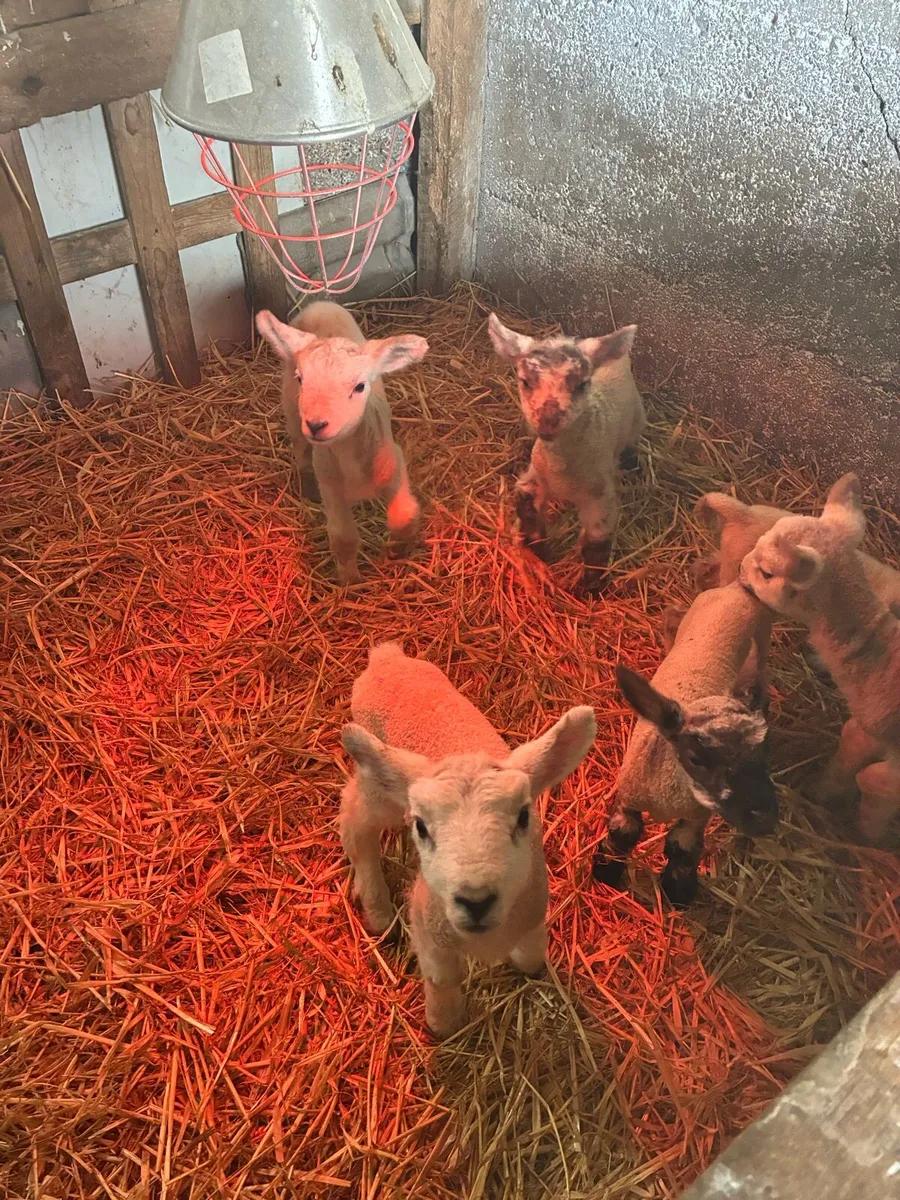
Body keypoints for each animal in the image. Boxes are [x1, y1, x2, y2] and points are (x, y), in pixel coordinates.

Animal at [255, 303, 428, 584]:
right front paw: (351, 582)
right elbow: (343, 537)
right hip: (291, 410)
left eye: (360, 386)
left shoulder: (394, 464)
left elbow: (404, 516)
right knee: (300, 449)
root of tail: (319, 304)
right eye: (301, 379)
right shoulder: (331, 485)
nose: (316, 424)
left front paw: (398, 550)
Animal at [340, 642, 596, 1038]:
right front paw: (441, 1024)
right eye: (421, 827)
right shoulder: (428, 925)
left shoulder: (534, 907)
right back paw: (378, 909)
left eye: (524, 816)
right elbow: (442, 978)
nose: (476, 900)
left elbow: (531, 956)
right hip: (381, 785)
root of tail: (386, 657)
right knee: (354, 819)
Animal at [488, 313, 645, 598]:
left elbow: (597, 543)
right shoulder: (534, 478)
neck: (562, 471)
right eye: (525, 381)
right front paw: (540, 552)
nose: (548, 421)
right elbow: (527, 508)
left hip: (636, 418)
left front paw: (587, 589)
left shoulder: (601, 496)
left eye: (581, 385)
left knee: (631, 444)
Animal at [592, 582, 778, 906]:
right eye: (696, 757)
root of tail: (738, 586)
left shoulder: (695, 815)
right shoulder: (629, 795)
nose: (766, 819)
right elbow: (623, 832)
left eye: (763, 750)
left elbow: (683, 848)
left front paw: (678, 892)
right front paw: (605, 873)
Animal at [740, 473, 900, 842]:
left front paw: (869, 837)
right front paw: (819, 792)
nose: (739, 571)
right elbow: (850, 750)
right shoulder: (869, 726)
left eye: (767, 573)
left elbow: (872, 779)